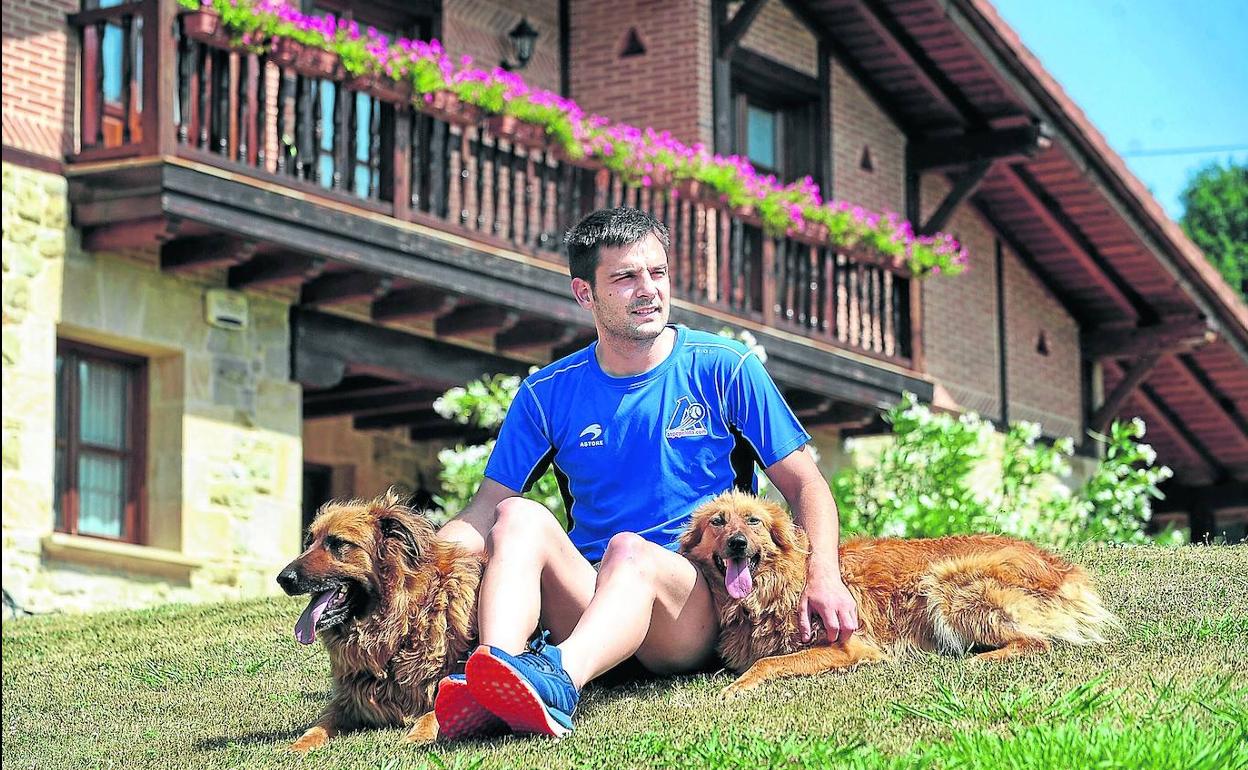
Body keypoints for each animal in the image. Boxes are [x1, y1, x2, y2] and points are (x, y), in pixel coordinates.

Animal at [278, 489, 481, 748]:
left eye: (338, 543)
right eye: (308, 542)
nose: (282, 579)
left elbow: (433, 713)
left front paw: (417, 736)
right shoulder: (349, 700)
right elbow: (320, 724)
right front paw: (300, 745)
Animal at [683, 491, 1123, 698]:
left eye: (753, 521)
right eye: (718, 522)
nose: (738, 543)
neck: (772, 591)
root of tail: (1060, 567)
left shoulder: (849, 647)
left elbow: (770, 663)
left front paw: (737, 687)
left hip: (946, 583)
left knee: (1036, 642)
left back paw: (971, 660)